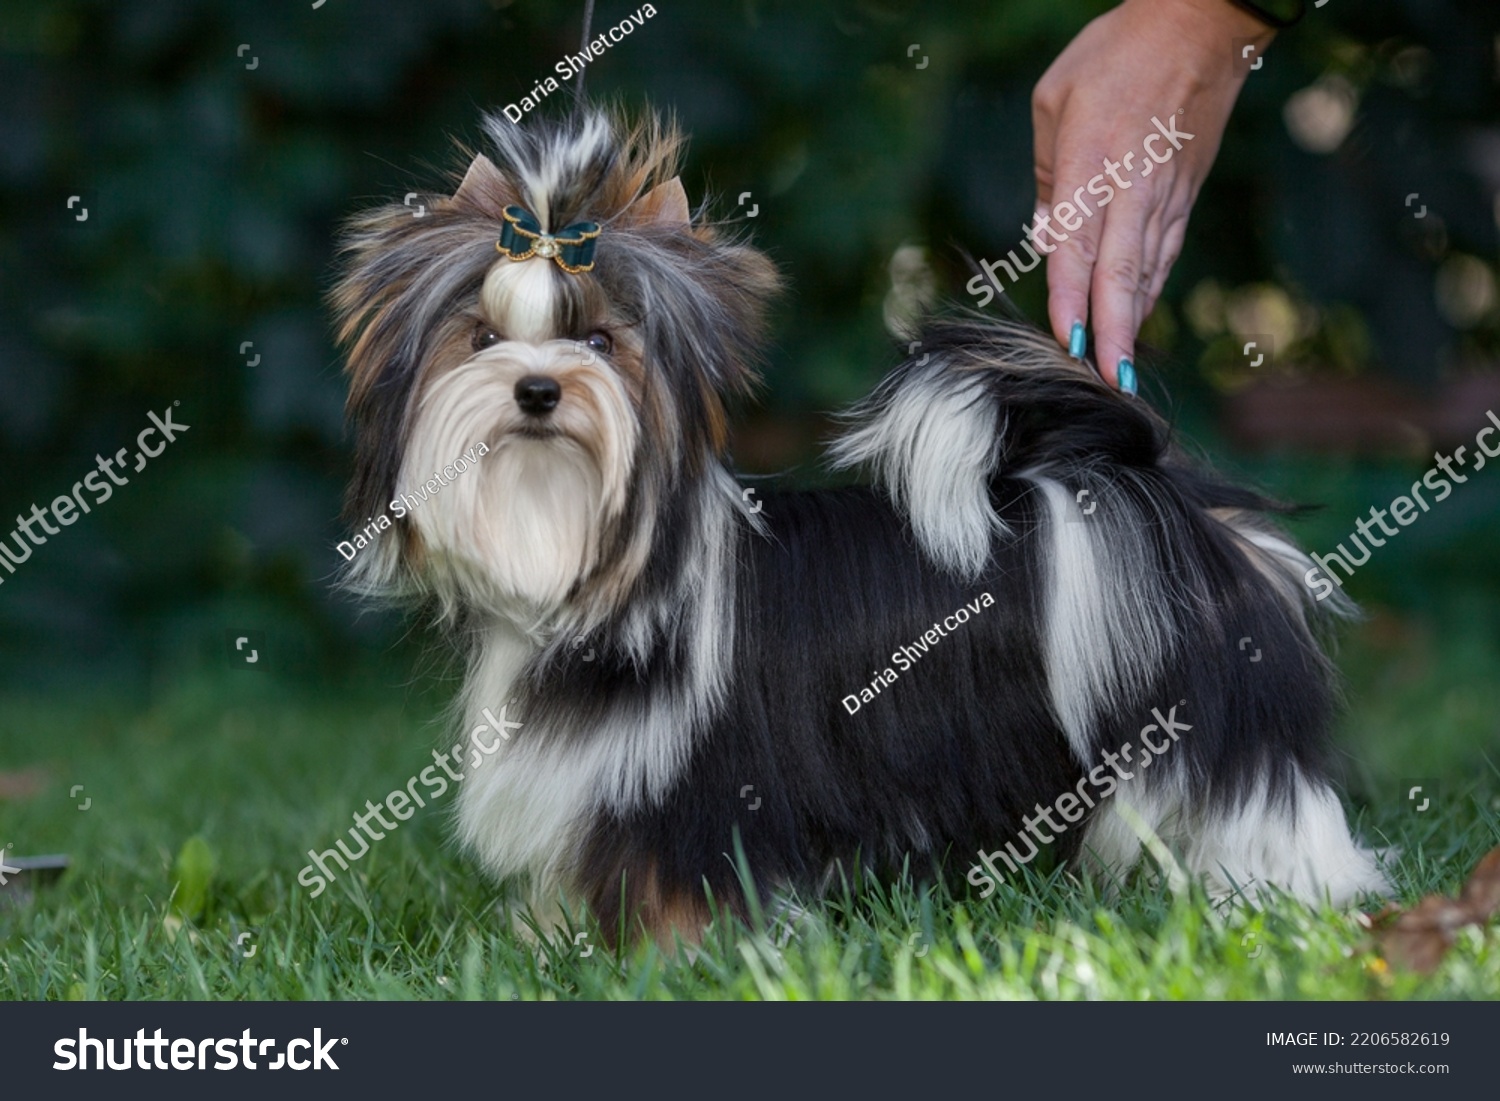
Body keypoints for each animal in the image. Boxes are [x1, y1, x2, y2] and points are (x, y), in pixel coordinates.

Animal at [334, 110, 1386, 948]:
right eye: (483, 339)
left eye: (599, 342)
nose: (538, 389)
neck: (601, 567)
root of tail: (1153, 488)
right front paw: (558, 942)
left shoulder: (699, 790)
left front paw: (684, 957)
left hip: (1207, 719)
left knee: (1259, 799)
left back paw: (1298, 897)